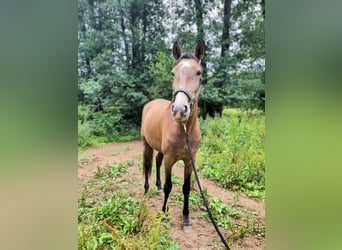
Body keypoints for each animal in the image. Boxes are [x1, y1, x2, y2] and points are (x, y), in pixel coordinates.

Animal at [140, 40, 204, 231]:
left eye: (199, 73)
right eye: (173, 73)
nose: (179, 110)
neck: (184, 130)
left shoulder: (190, 161)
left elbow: (186, 187)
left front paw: (186, 218)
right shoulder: (170, 159)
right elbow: (170, 186)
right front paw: (164, 214)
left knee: (156, 162)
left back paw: (157, 187)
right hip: (146, 144)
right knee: (147, 164)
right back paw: (146, 190)